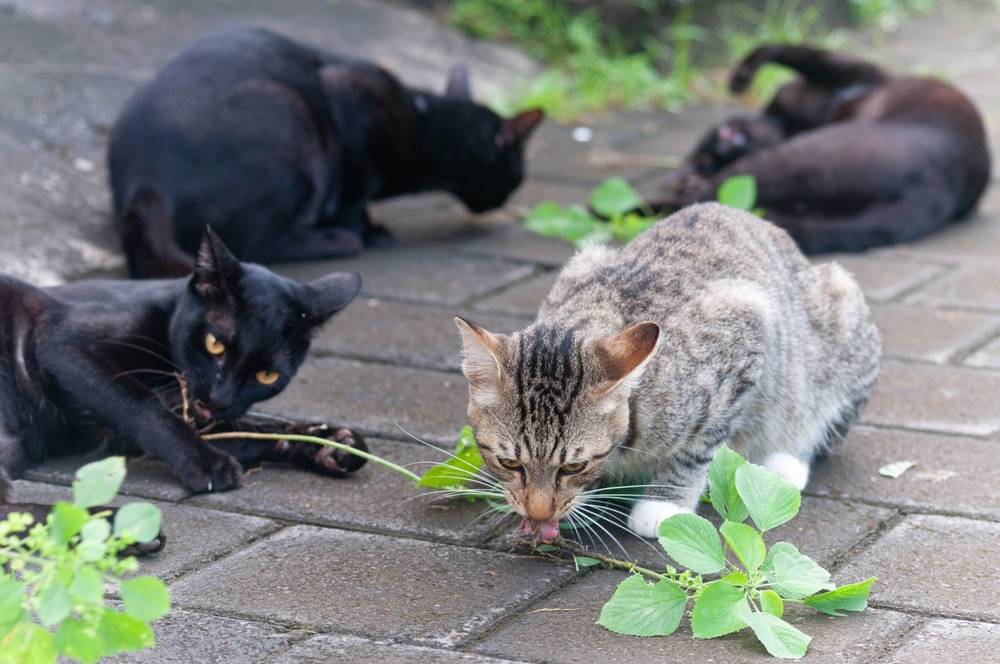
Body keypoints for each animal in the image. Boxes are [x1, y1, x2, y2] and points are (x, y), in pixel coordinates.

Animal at [0, 228, 368, 536]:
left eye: (267, 375)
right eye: (214, 344)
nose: (220, 397)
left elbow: (250, 431)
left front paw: (330, 443)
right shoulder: (61, 346)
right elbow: (140, 404)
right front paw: (205, 463)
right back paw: (116, 529)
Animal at [109, 26, 548, 278]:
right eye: (518, 172)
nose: (505, 199)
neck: (424, 120)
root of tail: (145, 181)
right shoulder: (350, 102)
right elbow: (356, 194)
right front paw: (367, 232)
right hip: (295, 120)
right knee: (256, 244)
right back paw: (337, 240)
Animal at [458, 202, 880, 540]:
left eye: (573, 466)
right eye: (509, 463)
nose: (538, 511)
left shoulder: (744, 328)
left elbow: (697, 448)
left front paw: (665, 505)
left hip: (838, 324)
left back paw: (785, 460)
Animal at [664, 43, 992, 252]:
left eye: (706, 158)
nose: (725, 144)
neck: (789, 124)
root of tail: (939, 188)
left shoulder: (850, 70)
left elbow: (789, 50)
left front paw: (741, 76)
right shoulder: (848, 70)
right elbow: (796, 49)